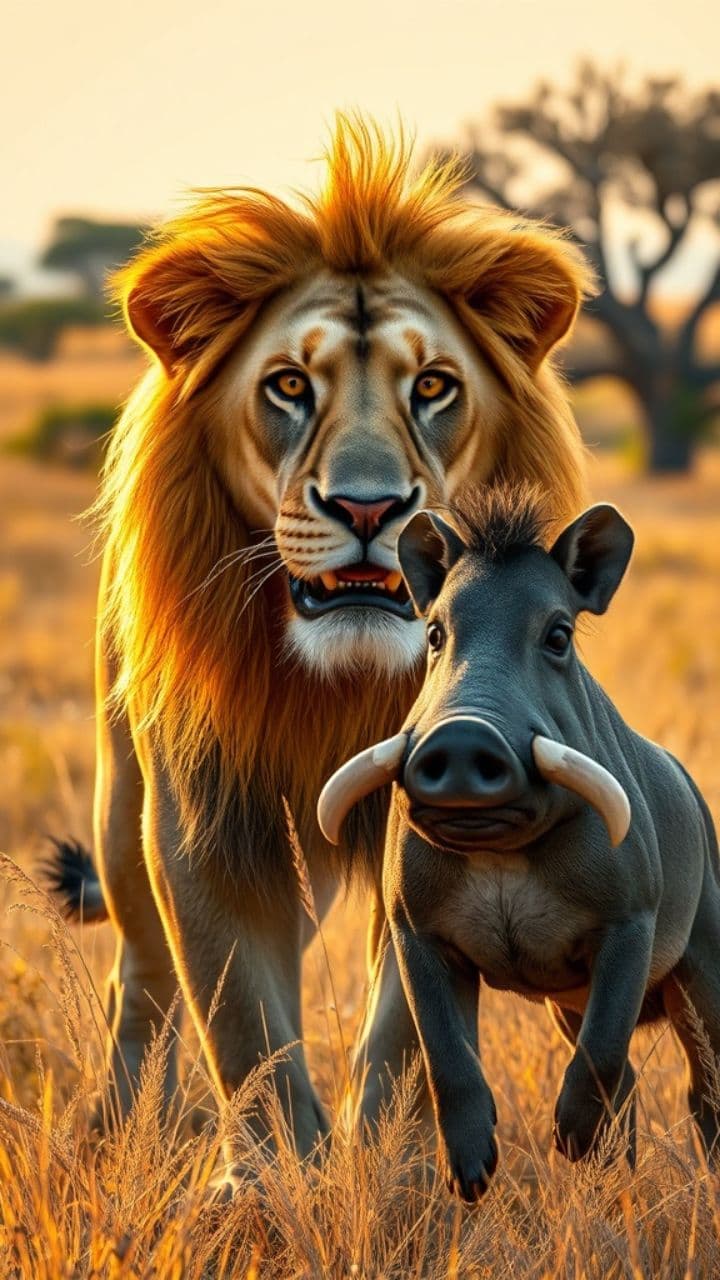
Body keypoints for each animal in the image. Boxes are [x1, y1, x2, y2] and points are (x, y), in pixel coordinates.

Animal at [49, 116, 591, 1156]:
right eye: (290, 385)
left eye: (434, 386)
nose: (369, 507)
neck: (338, 687)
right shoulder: (206, 823)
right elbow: (243, 1025)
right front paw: (270, 1178)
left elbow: (409, 1030)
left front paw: (388, 1166)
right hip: (121, 815)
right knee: (142, 981)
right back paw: (123, 1133)